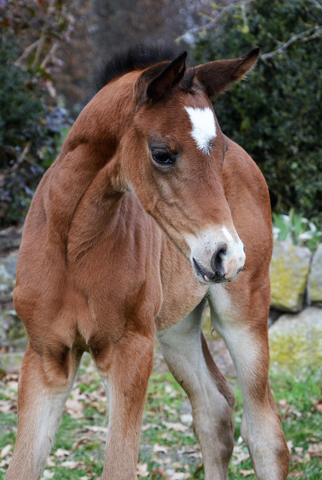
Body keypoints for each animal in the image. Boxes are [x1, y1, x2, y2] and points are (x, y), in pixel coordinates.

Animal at [6, 45, 290, 480]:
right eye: (162, 154)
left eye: (220, 152)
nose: (227, 254)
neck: (72, 247)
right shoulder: (45, 355)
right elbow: (23, 466)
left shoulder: (131, 350)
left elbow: (120, 467)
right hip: (177, 328)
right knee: (214, 413)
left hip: (244, 315)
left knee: (264, 433)